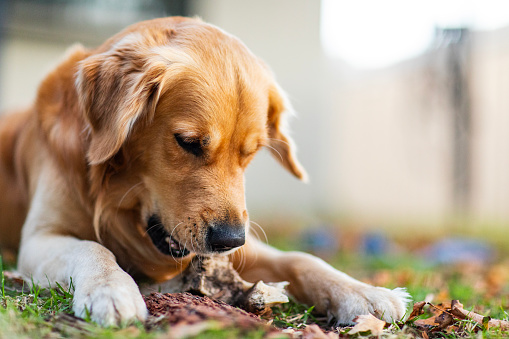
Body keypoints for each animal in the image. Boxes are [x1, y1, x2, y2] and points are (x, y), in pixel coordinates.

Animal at [0, 16, 406, 326]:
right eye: (189, 142)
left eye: (251, 153)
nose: (229, 239)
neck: (118, 202)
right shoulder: (39, 238)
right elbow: (92, 248)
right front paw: (110, 289)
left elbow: (299, 258)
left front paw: (364, 292)